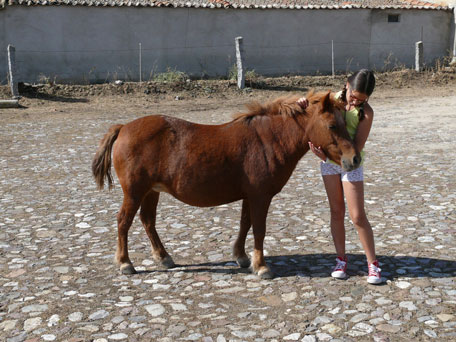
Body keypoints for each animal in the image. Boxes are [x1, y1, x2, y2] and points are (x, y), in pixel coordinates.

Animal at [92, 91, 362, 278]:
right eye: (332, 125)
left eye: (346, 122)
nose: (354, 159)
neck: (268, 140)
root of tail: (123, 128)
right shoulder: (260, 197)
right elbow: (259, 229)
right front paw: (261, 266)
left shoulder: (249, 196)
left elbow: (245, 224)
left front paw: (242, 257)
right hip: (135, 192)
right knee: (123, 221)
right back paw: (125, 263)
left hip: (151, 191)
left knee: (148, 221)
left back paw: (163, 257)